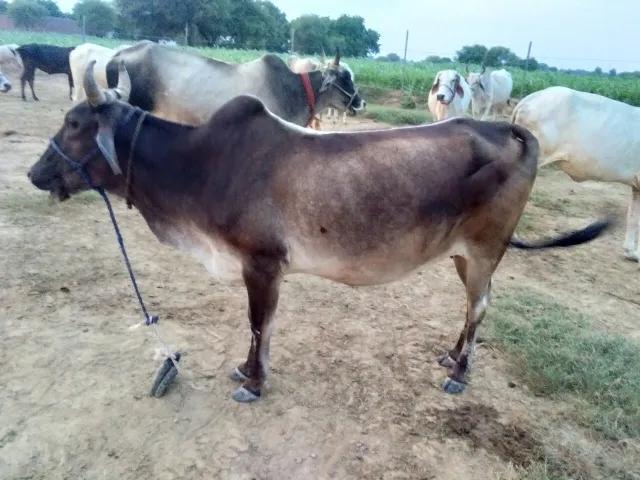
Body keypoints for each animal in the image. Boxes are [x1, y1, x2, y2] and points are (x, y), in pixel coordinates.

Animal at [27, 60, 612, 404]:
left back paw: (460, 374)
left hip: (486, 250)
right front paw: (244, 372)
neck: (201, 165)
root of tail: (506, 128)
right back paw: (451, 356)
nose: (36, 173)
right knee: (472, 309)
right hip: (463, 255)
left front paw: (254, 382)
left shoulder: (261, 264)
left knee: (482, 306)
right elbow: (258, 330)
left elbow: (259, 325)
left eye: (75, 125)